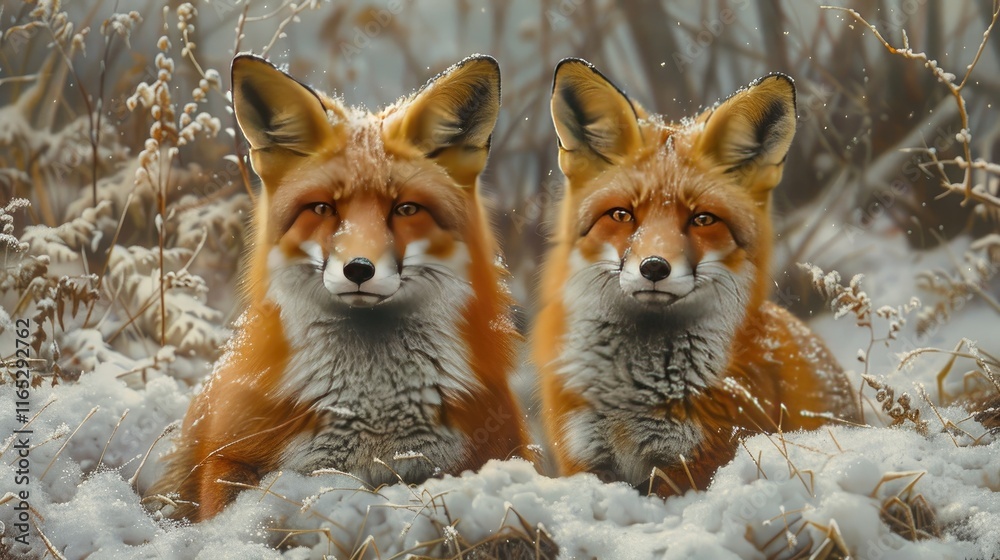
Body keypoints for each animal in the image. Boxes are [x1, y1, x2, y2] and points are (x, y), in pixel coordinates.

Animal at [148, 53, 529, 521]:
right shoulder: (229, 457)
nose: (359, 269)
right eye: (322, 208)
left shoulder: (490, 451)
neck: (373, 411)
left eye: (406, 209)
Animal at [533, 58, 860, 494]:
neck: (632, 394)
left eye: (703, 219)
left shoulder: (697, 461)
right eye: (622, 214)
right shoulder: (586, 457)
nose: (654, 267)